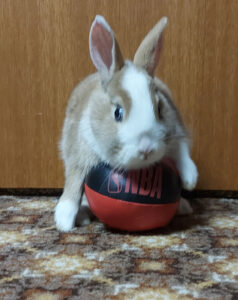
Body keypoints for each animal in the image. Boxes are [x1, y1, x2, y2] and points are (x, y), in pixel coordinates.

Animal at [54, 15, 198, 232]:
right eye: (117, 112)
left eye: (159, 108)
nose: (146, 148)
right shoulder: (78, 152)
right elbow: (74, 182)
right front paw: (63, 222)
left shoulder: (176, 133)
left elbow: (182, 154)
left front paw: (190, 179)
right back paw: (83, 216)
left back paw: (183, 206)